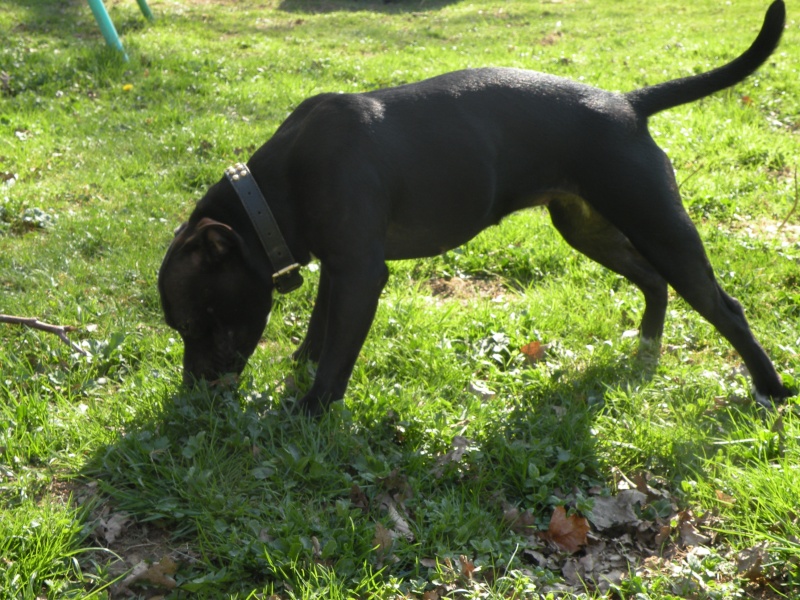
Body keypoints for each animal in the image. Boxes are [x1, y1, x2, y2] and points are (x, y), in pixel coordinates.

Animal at [159, 1, 792, 412]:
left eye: (191, 323)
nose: (191, 398)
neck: (267, 196)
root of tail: (626, 103)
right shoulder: (339, 269)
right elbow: (320, 331)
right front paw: (301, 367)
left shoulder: (361, 274)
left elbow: (338, 356)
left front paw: (309, 412)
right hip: (589, 229)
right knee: (653, 283)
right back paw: (646, 351)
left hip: (661, 227)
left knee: (725, 307)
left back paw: (771, 389)